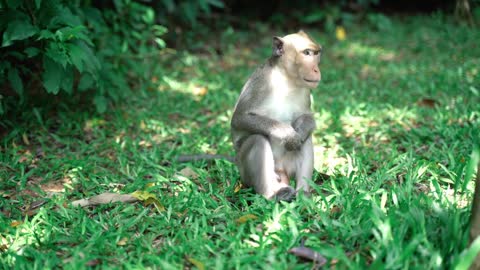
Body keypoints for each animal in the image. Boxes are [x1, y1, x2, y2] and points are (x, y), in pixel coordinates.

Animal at [230, 31, 320, 200]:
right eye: (306, 53)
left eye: (317, 53)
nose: (316, 69)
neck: (286, 80)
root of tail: (281, 171)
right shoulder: (260, 83)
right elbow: (239, 119)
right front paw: (287, 134)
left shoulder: (306, 91)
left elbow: (307, 117)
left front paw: (300, 130)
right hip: (246, 173)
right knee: (258, 140)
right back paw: (272, 194)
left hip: (288, 167)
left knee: (306, 140)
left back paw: (302, 195)